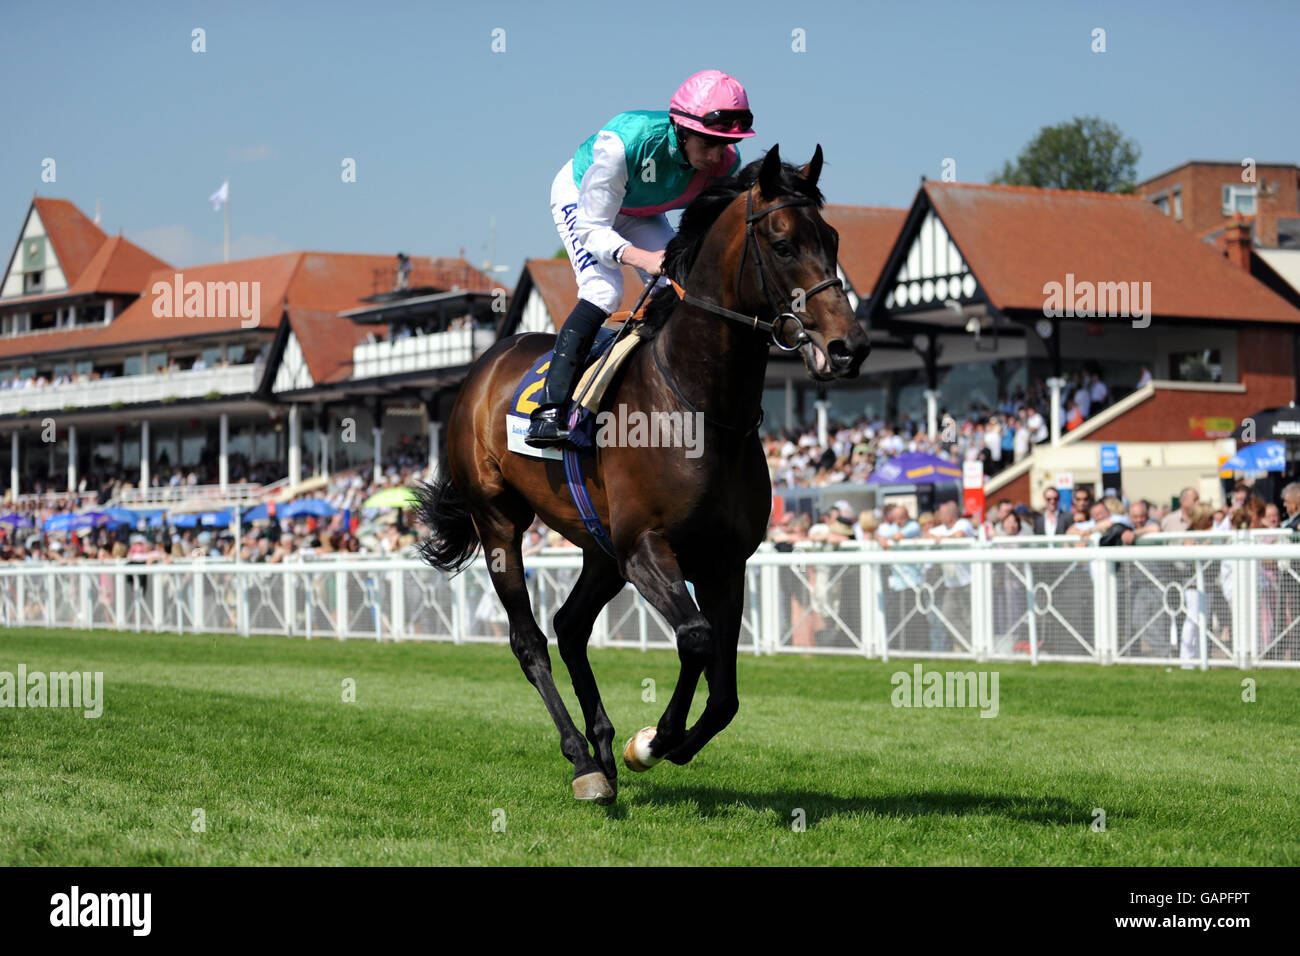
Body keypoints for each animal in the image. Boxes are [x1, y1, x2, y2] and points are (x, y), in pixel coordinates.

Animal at [410, 141, 868, 806]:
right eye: (783, 244)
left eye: (831, 238)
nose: (848, 347)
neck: (699, 408)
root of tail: (484, 365)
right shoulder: (648, 548)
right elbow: (696, 639)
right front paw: (652, 741)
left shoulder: (725, 561)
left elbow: (726, 694)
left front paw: (657, 742)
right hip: (500, 522)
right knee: (530, 641)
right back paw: (583, 760)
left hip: (601, 548)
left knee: (570, 626)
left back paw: (602, 744)